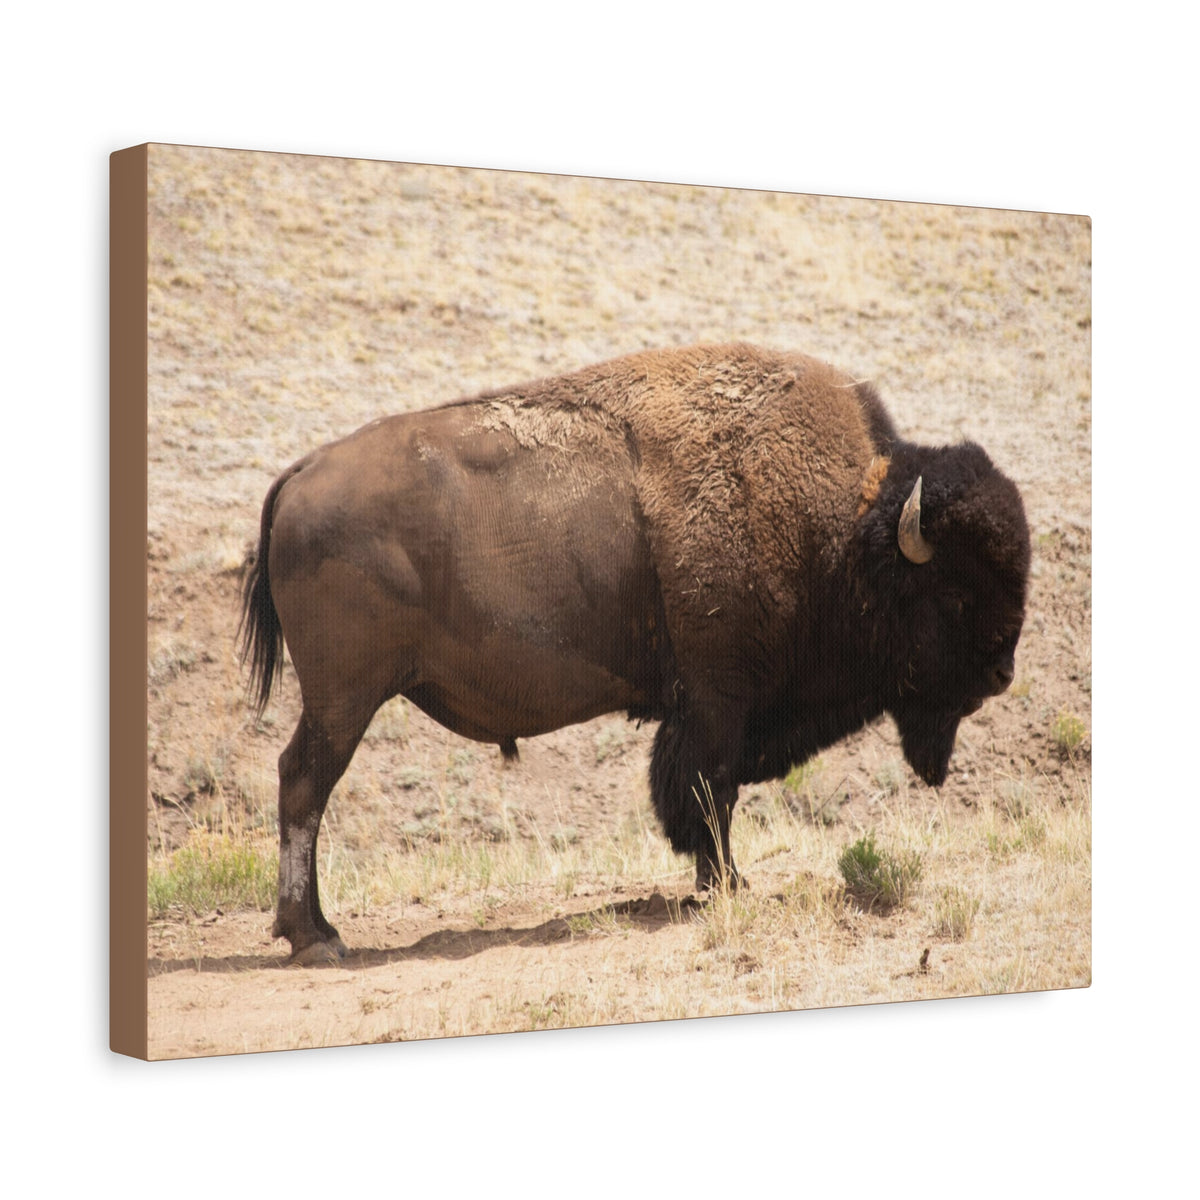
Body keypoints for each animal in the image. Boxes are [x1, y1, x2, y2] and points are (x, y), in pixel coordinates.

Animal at [240, 343, 1030, 963]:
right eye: (955, 592)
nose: (1001, 673)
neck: (846, 532)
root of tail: (301, 474)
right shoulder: (717, 701)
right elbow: (709, 793)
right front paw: (727, 885)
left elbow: (707, 796)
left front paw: (719, 883)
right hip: (344, 699)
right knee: (304, 783)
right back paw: (315, 938)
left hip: (341, 699)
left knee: (303, 784)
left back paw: (315, 930)